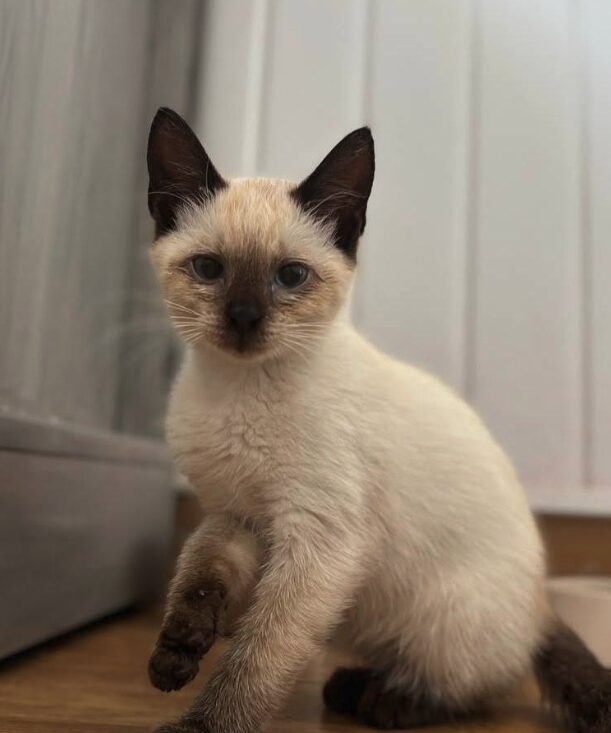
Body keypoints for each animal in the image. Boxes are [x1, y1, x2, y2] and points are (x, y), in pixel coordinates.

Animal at [146, 107, 608, 732]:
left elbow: (258, 655)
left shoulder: (318, 540)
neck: (238, 389)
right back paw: (353, 688)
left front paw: (202, 725)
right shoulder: (238, 517)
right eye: (208, 269)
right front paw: (175, 655)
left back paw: (379, 698)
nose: (243, 317)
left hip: (444, 618)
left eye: (290, 277)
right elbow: (198, 577)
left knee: (479, 686)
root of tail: (544, 603)